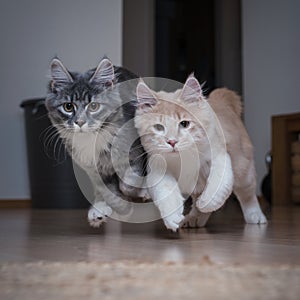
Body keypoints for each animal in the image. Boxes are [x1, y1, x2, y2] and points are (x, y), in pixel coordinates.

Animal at [45, 57, 146, 227]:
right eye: (68, 107)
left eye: (93, 106)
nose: (80, 122)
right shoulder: (94, 169)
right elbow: (110, 193)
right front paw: (122, 209)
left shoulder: (136, 152)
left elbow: (129, 181)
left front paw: (135, 192)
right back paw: (99, 210)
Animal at [135, 74, 266, 231]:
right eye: (159, 127)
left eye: (184, 124)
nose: (172, 141)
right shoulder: (158, 170)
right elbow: (166, 193)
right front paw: (173, 217)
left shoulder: (220, 158)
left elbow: (216, 188)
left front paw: (206, 202)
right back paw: (194, 219)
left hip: (243, 169)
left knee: (248, 195)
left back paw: (255, 216)